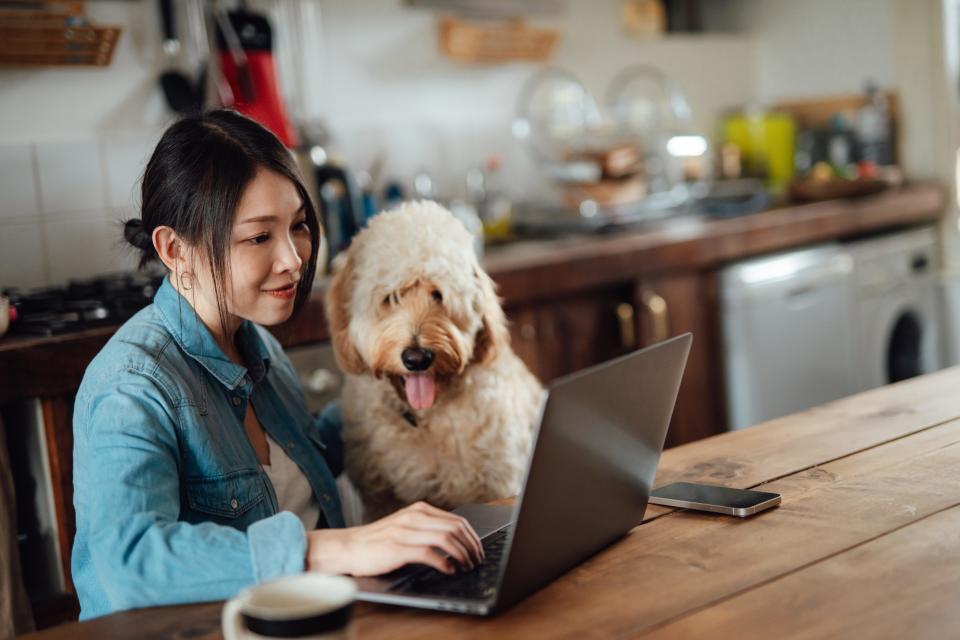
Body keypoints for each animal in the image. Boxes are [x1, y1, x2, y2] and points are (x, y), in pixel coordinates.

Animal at [326, 202, 544, 524]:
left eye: (439, 295)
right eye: (391, 297)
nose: (417, 358)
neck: (424, 417)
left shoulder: (496, 483)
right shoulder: (381, 501)